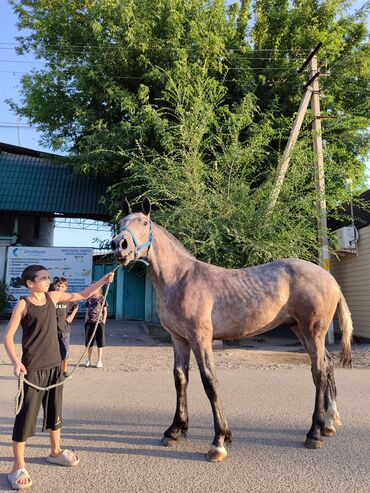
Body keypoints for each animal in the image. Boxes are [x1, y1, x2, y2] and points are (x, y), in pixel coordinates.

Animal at [112, 197, 352, 462]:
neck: (181, 279)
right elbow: (180, 378)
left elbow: (210, 382)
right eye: (121, 222)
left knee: (319, 372)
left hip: (313, 331)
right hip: (301, 331)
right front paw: (174, 430)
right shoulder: (179, 339)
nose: (119, 246)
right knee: (326, 366)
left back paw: (314, 433)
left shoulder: (201, 339)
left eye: (144, 223)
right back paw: (329, 423)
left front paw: (219, 441)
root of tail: (330, 279)